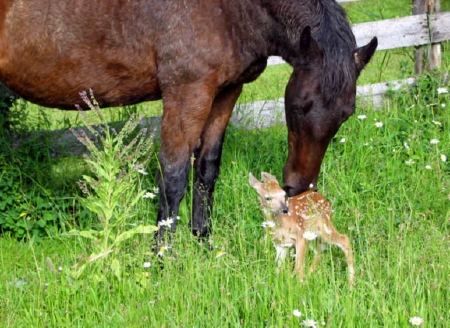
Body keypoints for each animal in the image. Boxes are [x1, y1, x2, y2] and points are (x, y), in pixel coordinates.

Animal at [0, 0, 376, 241]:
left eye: (346, 113)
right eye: (299, 106)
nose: (299, 188)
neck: (229, 10)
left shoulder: (225, 92)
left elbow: (207, 169)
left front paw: (203, 241)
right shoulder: (186, 95)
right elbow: (173, 178)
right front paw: (161, 259)